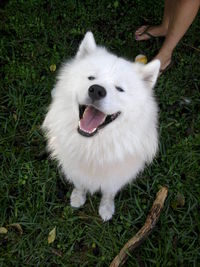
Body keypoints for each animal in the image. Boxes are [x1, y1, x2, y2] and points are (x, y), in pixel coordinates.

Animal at [41, 31, 159, 222]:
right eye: (91, 78)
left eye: (120, 89)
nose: (96, 90)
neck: (93, 146)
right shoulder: (75, 169)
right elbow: (80, 184)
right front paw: (78, 197)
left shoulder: (116, 176)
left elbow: (108, 193)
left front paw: (106, 209)